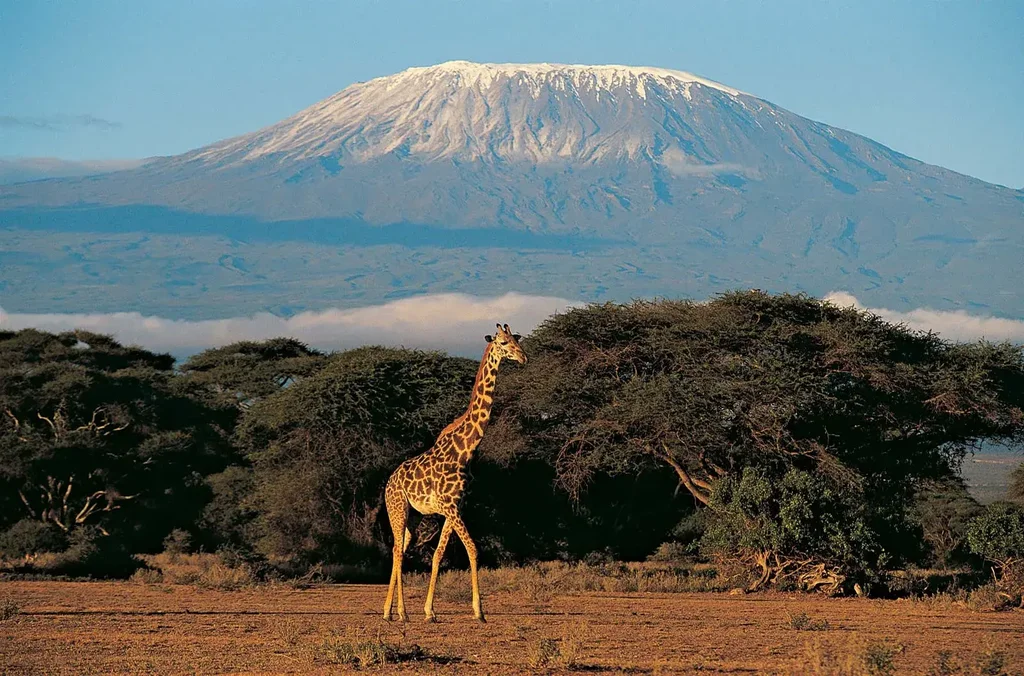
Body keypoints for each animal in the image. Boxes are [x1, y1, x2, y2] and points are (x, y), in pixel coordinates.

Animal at [385, 321, 528, 622]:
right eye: (503, 343)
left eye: (517, 340)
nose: (523, 357)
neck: (466, 450)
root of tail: (388, 482)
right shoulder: (450, 507)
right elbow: (473, 549)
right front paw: (479, 611)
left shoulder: (455, 507)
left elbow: (438, 554)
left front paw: (429, 611)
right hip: (397, 508)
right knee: (397, 550)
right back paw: (401, 612)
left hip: (414, 516)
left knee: (399, 548)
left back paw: (387, 611)